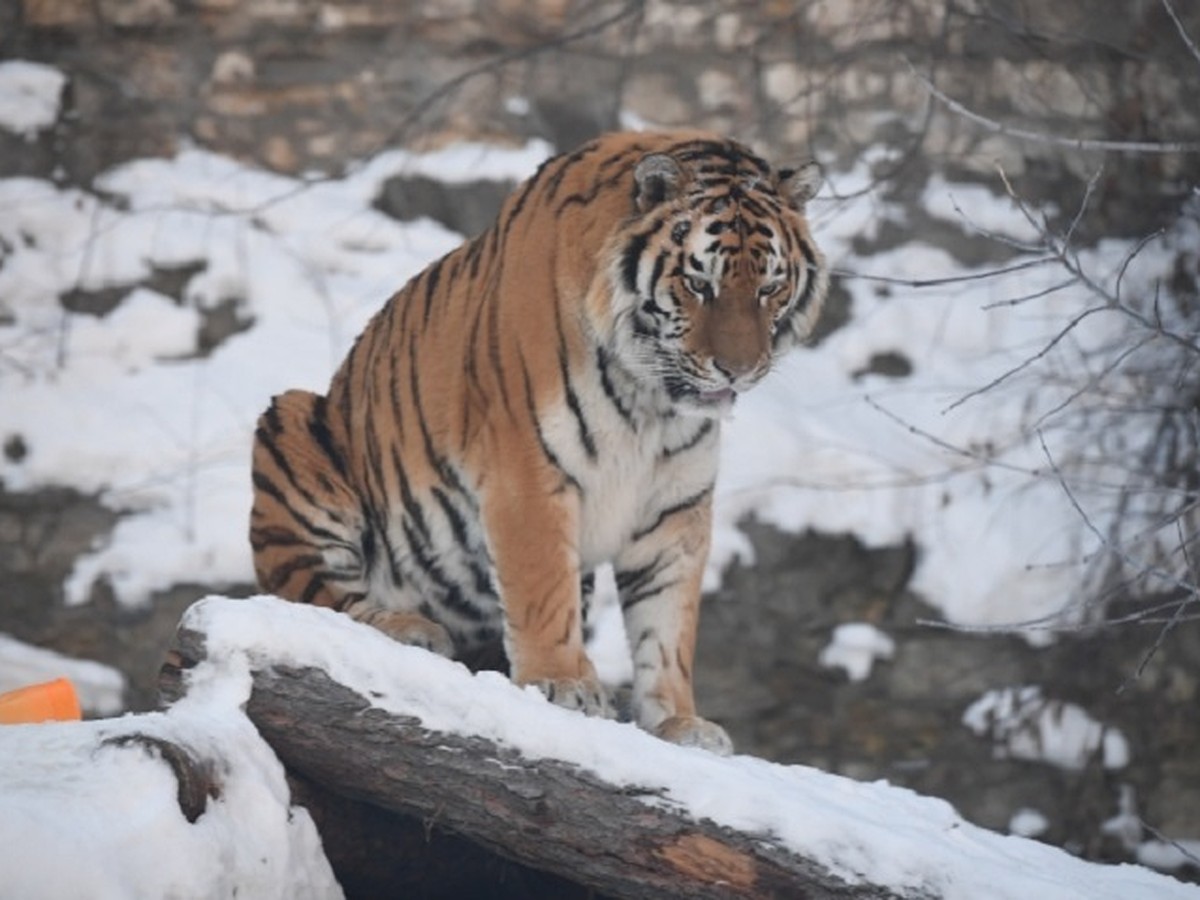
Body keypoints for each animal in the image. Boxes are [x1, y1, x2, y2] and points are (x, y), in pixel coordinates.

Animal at [243, 130, 825, 758]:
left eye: (769, 286)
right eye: (698, 283)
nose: (738, 371)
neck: (651, 401)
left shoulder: (675, 505)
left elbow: (667, 623)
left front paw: (679, 722)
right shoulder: (528, 470)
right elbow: (543, 588)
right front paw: (564, 683)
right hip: (293, 423)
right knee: (319, 603)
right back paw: (409, 628)